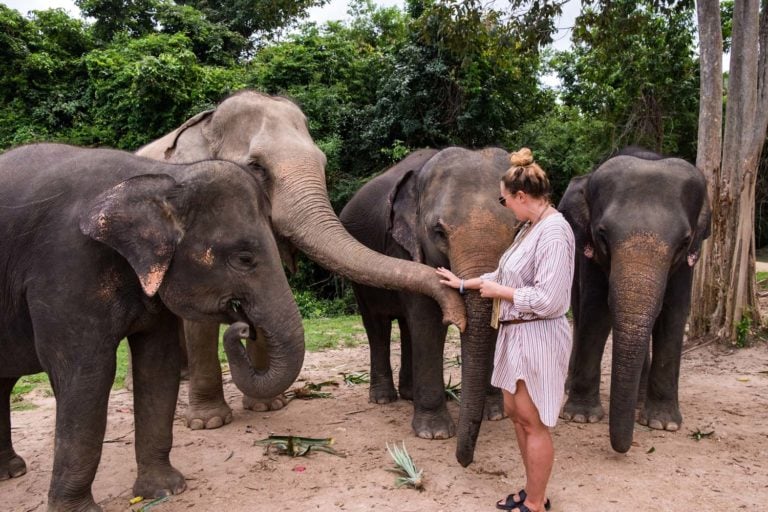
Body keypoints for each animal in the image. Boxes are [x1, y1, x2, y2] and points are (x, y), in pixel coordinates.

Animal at [0, 143, 302, 511]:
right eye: (244, 258)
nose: (245, 328)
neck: (163, 177)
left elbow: (158, 364)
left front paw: (165, 491)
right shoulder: (65, 267)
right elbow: (86, 375)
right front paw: (78, 510)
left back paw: (10, 471)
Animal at [135, 90, 466, 429]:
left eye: (323, 163)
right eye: (256, 166)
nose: (243, 329)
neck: (208, 123)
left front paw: (268, 407)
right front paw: (210, 423)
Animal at [339, 147, 517, 465]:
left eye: (517, 229)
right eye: (438, 231)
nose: (465, 461)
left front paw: (496, 415)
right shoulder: (404, 248)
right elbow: (427, 320)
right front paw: (434, 433)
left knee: (406, 326)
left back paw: (409, 395)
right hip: (358, 276)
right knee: (377, 325)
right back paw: (383, 398)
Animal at [557, 147, 711, 453]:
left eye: (683, 242)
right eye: (603, 235)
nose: (623, 449)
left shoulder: (687, 263)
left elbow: (673, 315)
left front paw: (663, 423)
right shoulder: (588, 251)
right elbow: (596, 311)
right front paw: (580, 417)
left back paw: (640, 402)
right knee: (579, 311)